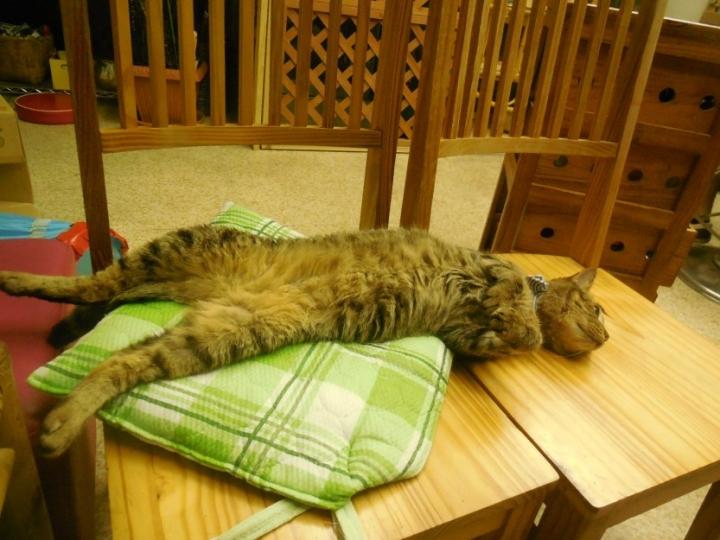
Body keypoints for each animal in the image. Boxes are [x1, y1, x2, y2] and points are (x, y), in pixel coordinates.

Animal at [0, 225, 608, 457]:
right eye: (600, 309)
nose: (604, 337)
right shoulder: (495, 269)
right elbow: (513, 296)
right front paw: (521, 320)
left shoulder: (461, 331)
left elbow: (494, 334)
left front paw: (513, 330)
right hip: (177, 247)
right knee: (89, 284)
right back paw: (17, 279)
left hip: (219, 333)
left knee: (123, 359)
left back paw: (62, 422)